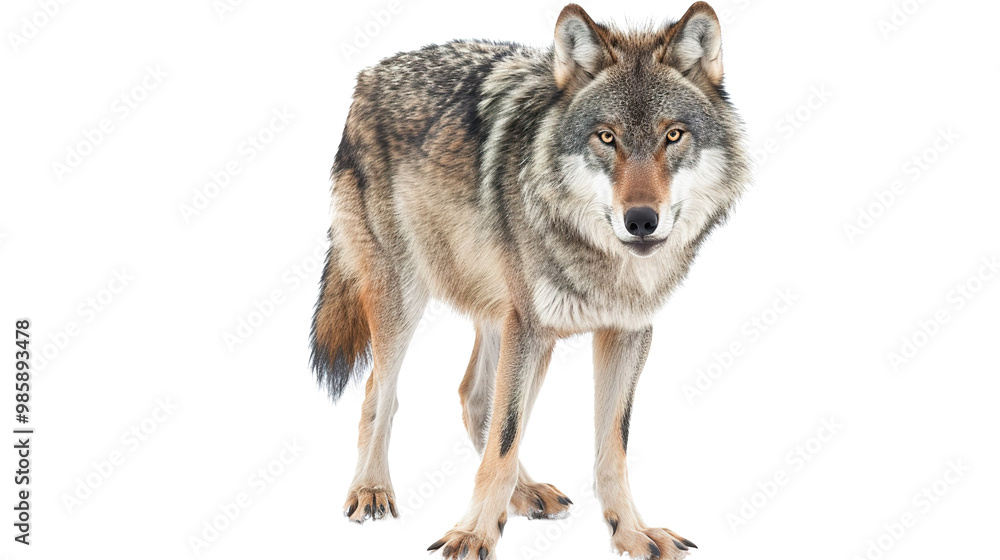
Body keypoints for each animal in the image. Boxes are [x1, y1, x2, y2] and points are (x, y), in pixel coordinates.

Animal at [311, 3, 749, 558]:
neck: (603, 263)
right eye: (606, 137)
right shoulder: (533, 327)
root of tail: (370, 75)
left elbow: (611, 446)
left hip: (504, 316)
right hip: (409, 299)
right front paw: (474, 533)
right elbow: (505, 437)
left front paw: (631, 532)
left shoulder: (626, 333)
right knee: (380, 391)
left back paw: (525, 493)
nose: (641, 220)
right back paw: (371, 490)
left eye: (673, 135)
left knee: (475, 397)